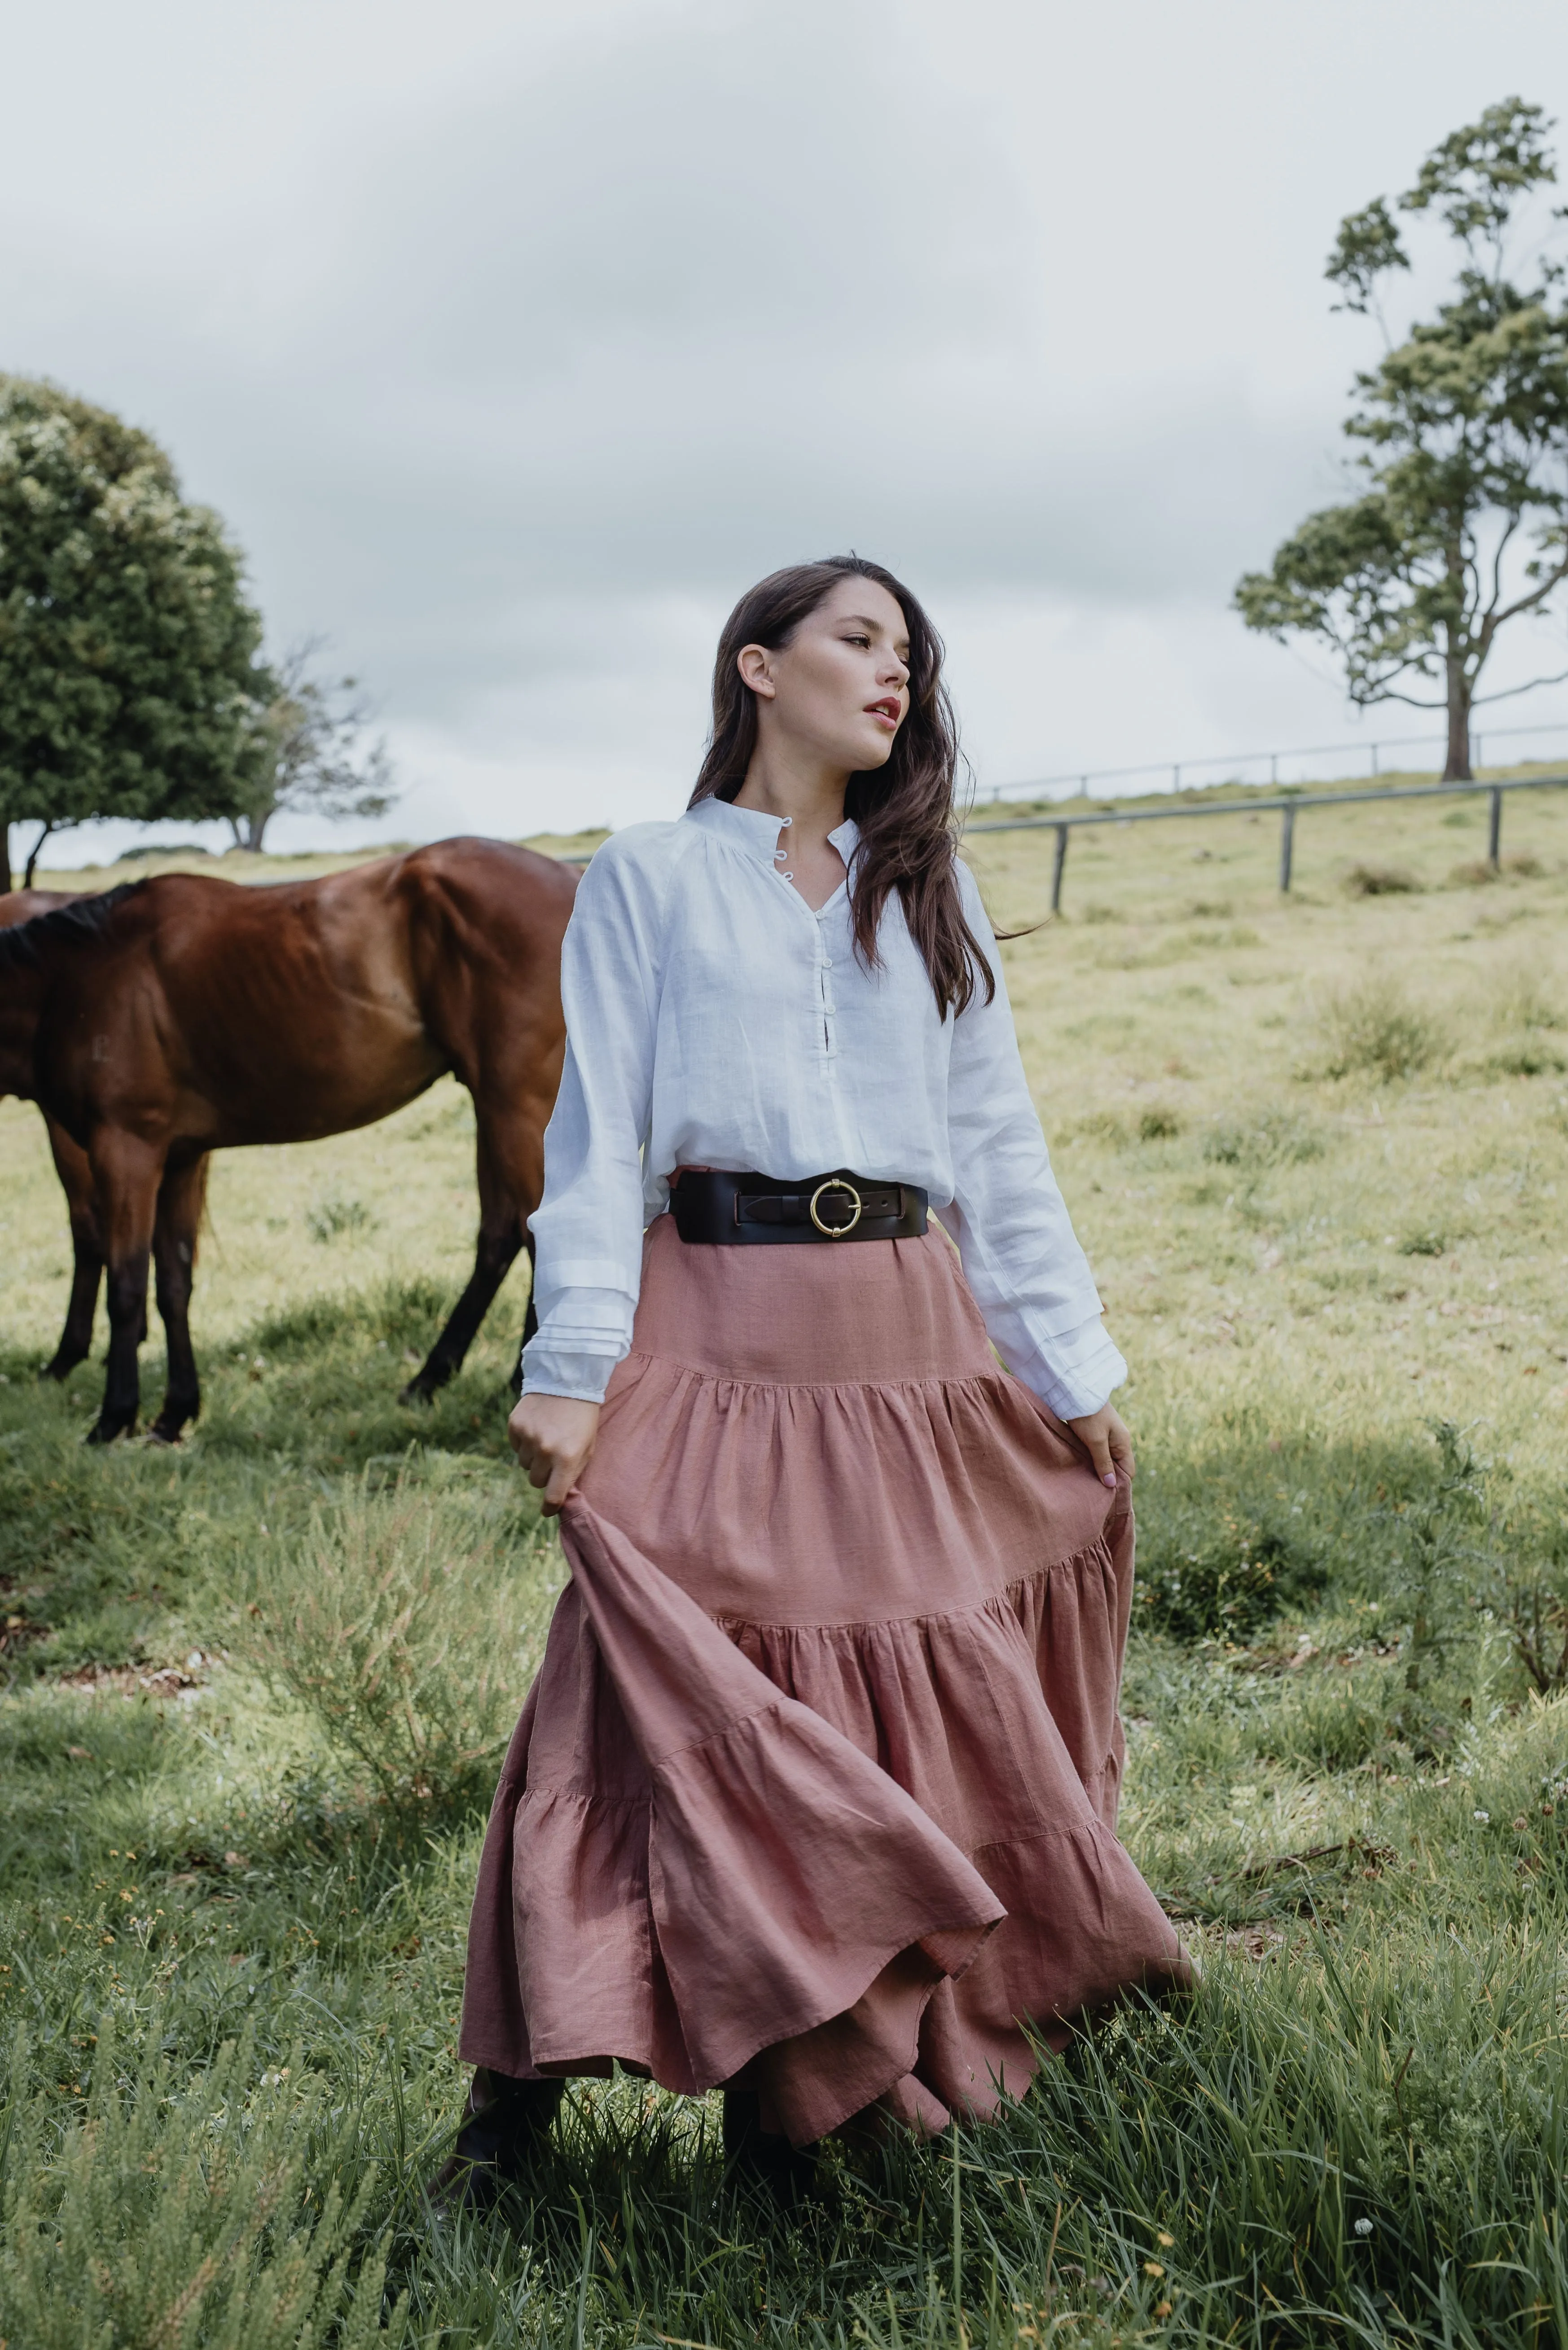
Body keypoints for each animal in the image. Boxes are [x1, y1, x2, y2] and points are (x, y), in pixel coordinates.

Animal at [0, 836, 576, 1438]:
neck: (81, 979)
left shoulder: (125, 1151)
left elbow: (125, 1282)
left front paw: (114, 1415)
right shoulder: (179, 1159)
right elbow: (174, 1283)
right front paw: (176, 1409)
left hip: (513, 1108)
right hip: (495, 1107)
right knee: (503, 1235)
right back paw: (440, 1378)